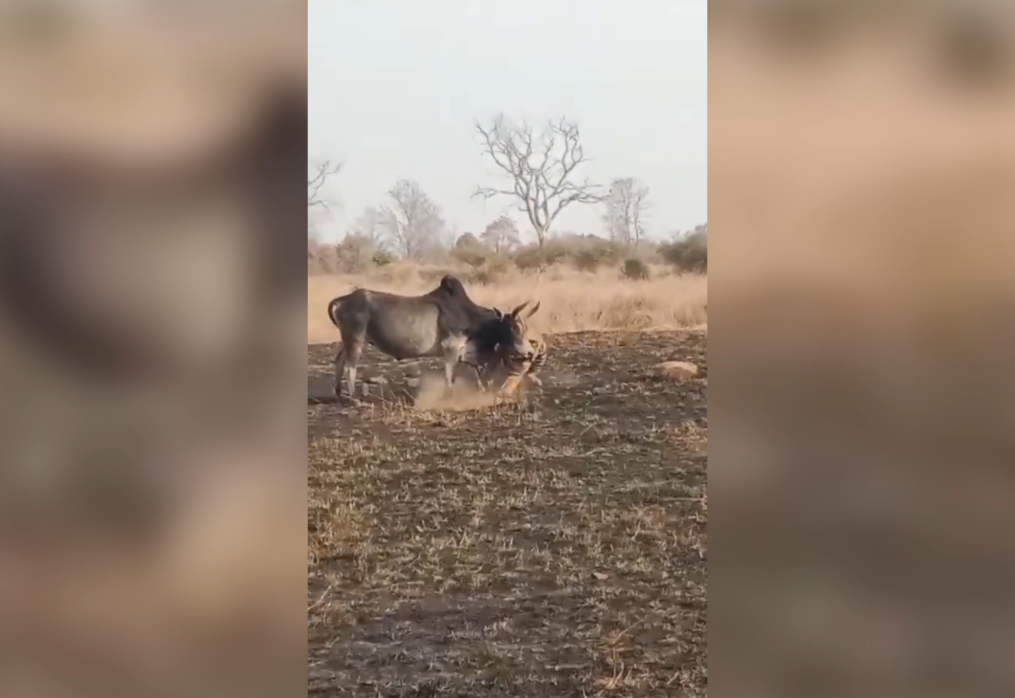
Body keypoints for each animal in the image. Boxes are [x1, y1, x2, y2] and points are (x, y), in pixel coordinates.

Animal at [326, 275, 535, 401]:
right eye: (514, 327)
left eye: (525, 327)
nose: (530, 352)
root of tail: (342, 299)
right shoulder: (450, 348)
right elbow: (449, 376)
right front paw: (449, 396)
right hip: (356, 339)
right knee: (350, 367)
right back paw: (354, 398)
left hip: (347, 340)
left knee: (339, 360)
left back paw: (338, 393)